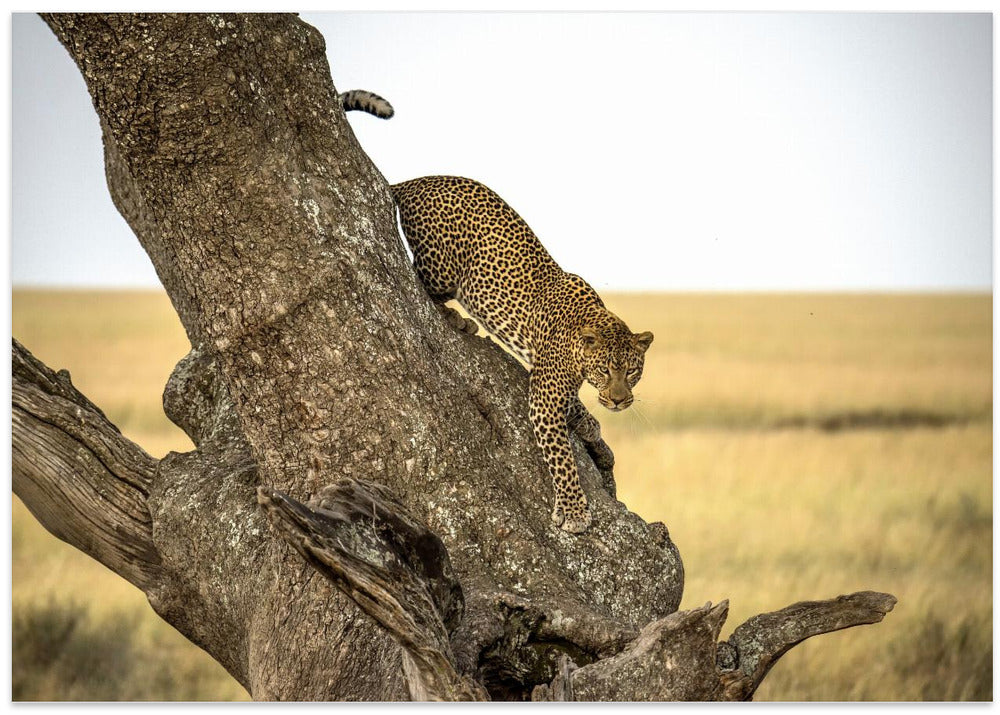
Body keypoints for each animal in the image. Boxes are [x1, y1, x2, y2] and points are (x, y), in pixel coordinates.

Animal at [391, 176, 653, 534]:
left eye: (631, 372)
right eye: (605, 370)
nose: (619, 401)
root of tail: (413, 182)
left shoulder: (550, 379)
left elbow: (575, 405)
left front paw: (588, 425)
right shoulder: (545, 395)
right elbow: (562, 458)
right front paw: (574, 511)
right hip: (442, 267)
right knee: (420, 281)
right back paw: (459, 319)